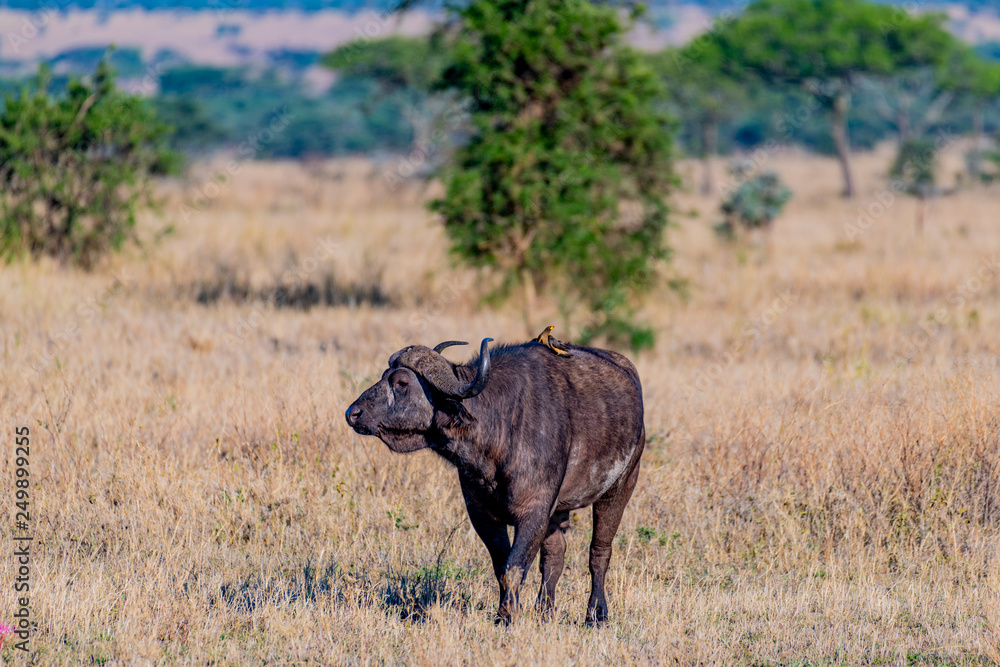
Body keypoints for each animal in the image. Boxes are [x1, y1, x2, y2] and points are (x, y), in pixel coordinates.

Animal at [345, 337, 645, 625]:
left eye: (402, 382)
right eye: (385, 375)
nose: (352, 413)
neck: (499, 428)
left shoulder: (534, 511)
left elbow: (514, 567)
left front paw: (508, 615)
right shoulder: (483, 515)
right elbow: (502, 567)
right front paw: (504, 613)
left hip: (620, 488)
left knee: (599, 553)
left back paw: (597, 615)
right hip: (560, 510)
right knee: (555, 555)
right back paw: (544, 612)